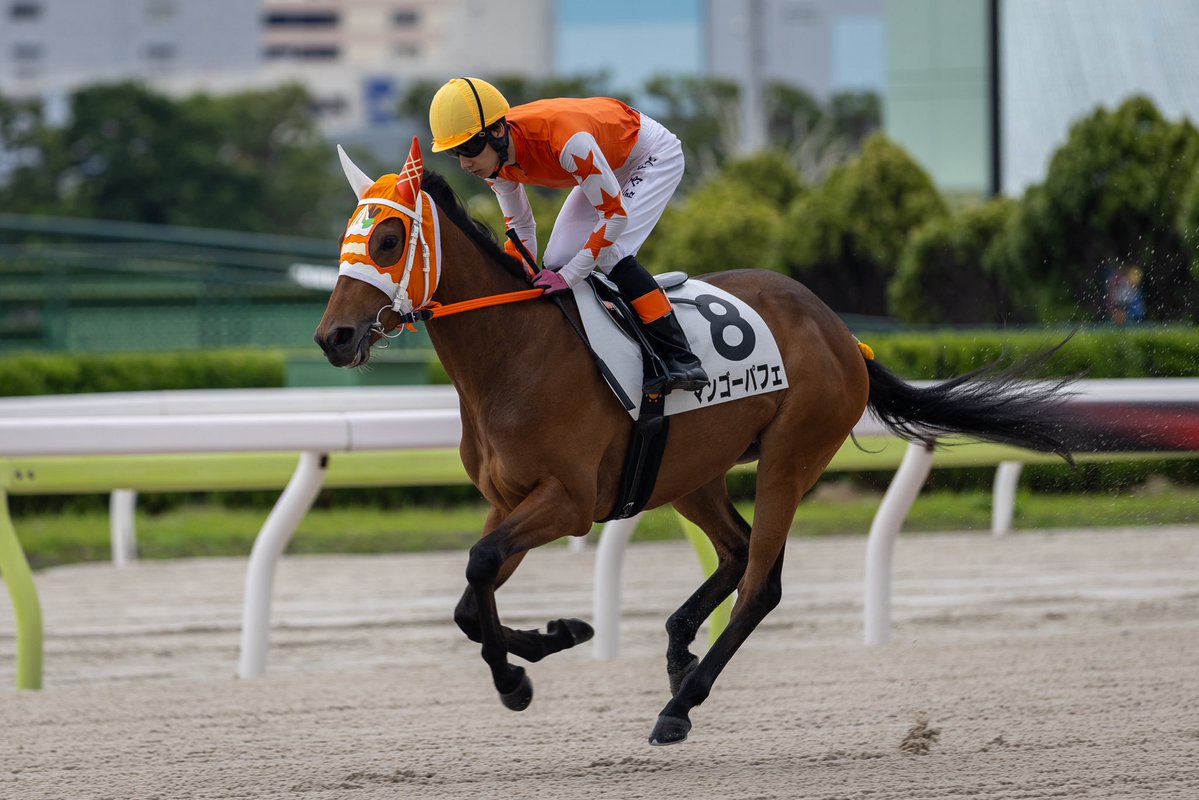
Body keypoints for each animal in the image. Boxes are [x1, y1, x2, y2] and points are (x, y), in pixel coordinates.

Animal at [314, 139, 1078, 745]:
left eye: (388, 239)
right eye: (347, 237)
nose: (334, 338)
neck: (514, 353)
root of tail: (840, 332)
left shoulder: (569, 502)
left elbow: (478, 567)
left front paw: (516, 680)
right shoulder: (509, 500)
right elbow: (470, 600)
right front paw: (559, 637)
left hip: (790, 456)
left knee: (761, 582)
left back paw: (680, 703)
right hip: (688, 471)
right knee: (735, 551)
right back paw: (679, 645)